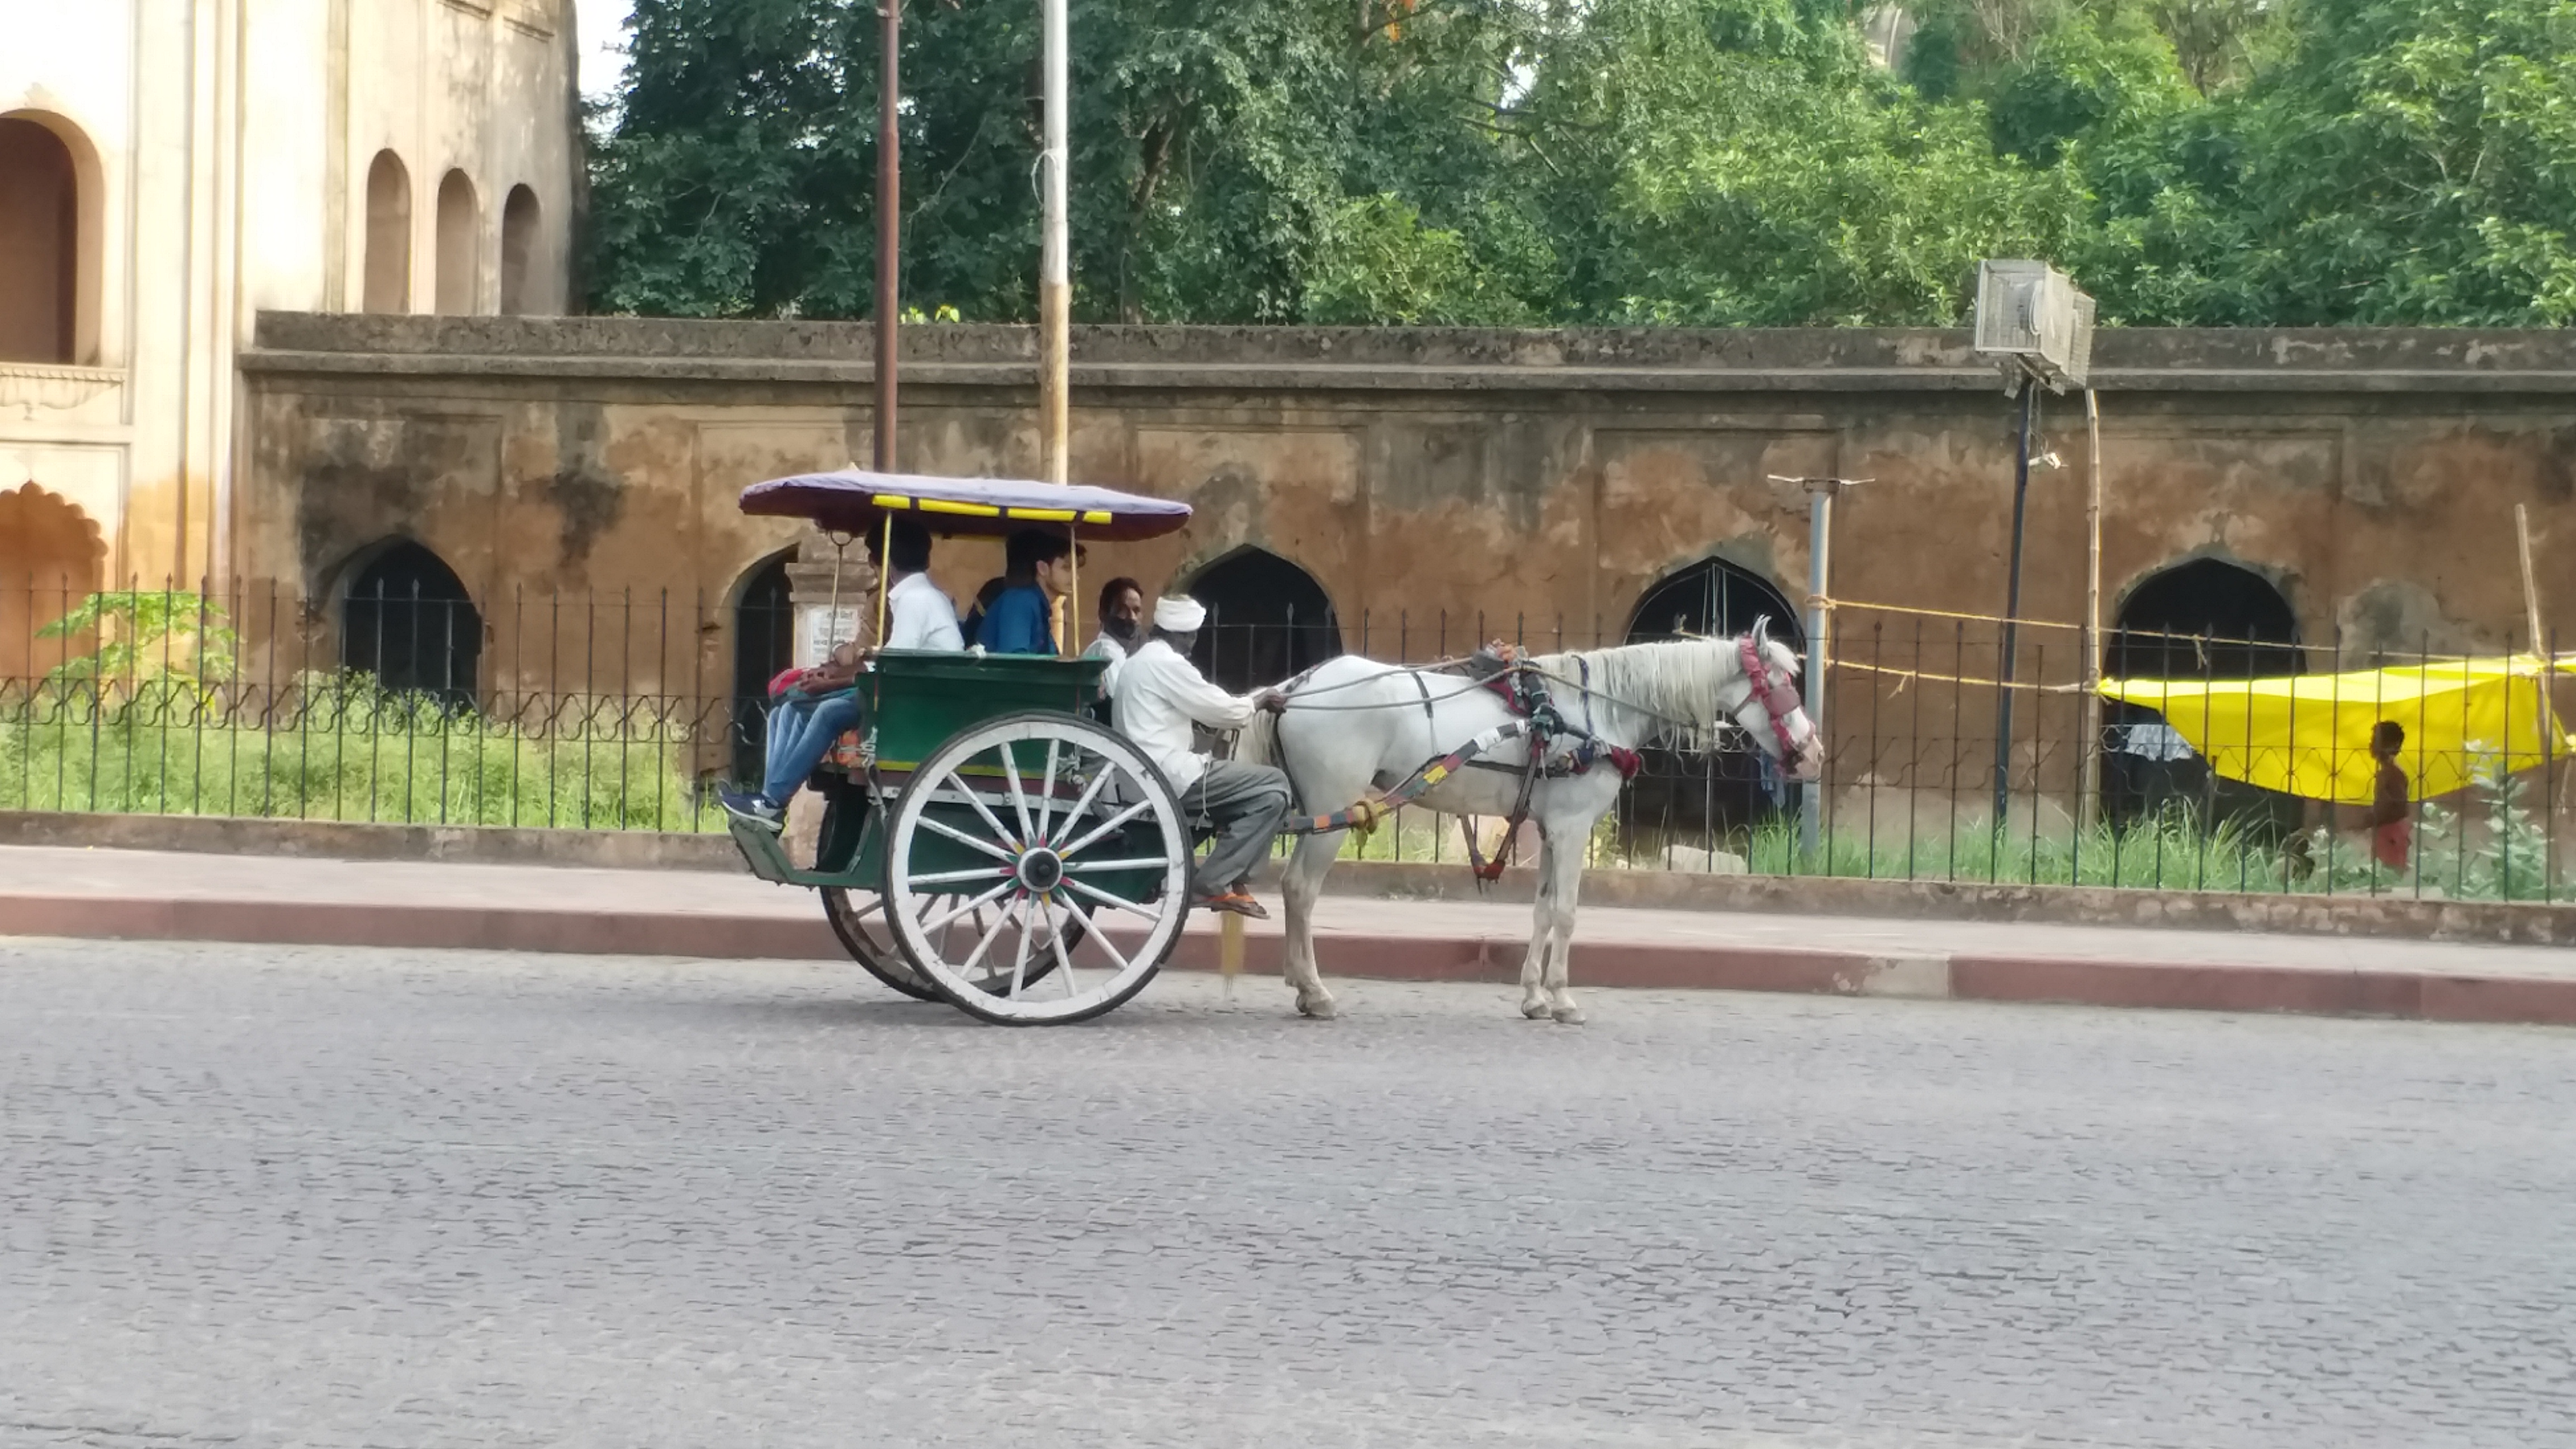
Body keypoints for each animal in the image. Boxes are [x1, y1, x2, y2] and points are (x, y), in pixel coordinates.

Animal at [1236, 621, 1824, 1016]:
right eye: (1780, 684)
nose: (1813, 753)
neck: (1594, 712)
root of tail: (1293, 689)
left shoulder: (1549, 827)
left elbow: (1542, 912)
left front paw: (1535, 995)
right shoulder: (1573, 827)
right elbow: (1566, 913)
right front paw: (1562, 996)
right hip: (1331, 805)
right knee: (1301, 890)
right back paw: (1314, 988)